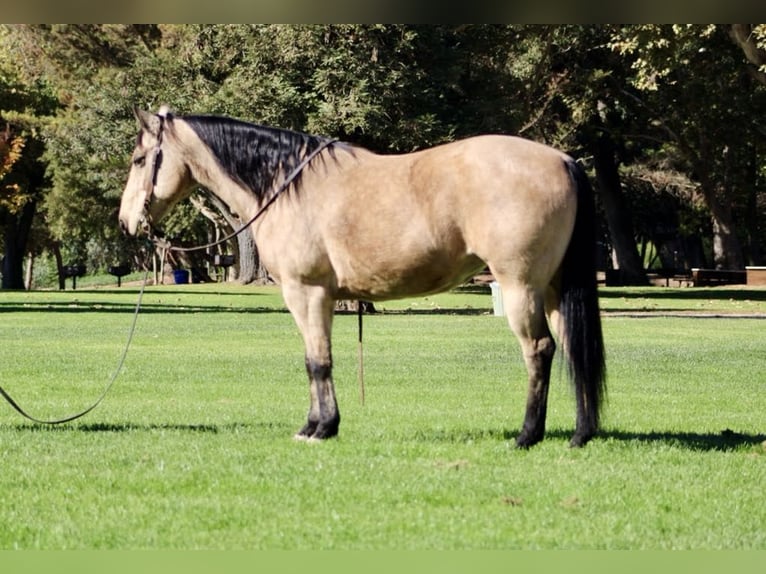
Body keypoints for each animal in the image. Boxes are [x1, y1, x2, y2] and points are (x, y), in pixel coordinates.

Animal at [118, 106, 606, 448]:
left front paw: (319, 428)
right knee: (573, 349)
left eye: (140, 158)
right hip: (553, 289)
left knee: (539, 350)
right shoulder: (323, 297)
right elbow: (317, 358)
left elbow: (317, 360)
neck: (287, 186)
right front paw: (317, 424)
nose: (127, 222)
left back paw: (527, 435)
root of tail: (564, 160)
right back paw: (581, 433)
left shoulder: (306, 292)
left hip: (521, 287)